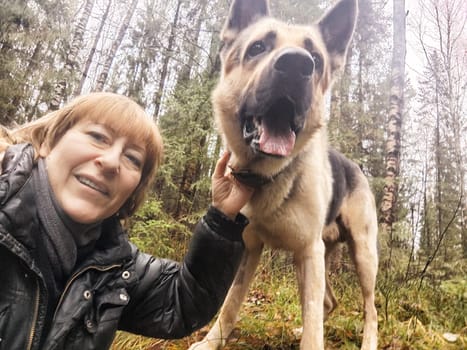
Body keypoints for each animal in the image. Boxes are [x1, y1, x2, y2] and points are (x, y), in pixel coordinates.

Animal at [188, 0, 378, 348]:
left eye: (316, 59)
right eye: (257, 47)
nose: (296, 65)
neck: (266, 176)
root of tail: (355, 166)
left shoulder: (309, 252)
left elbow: (314, 322)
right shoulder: (251, 248)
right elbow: (230, 303)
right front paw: (211, 341)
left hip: (363, 255)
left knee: (369, 309)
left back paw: (368, 340)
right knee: (329, 301)